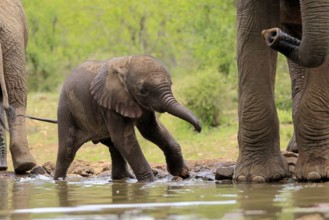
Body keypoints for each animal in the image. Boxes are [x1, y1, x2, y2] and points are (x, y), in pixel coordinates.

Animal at [53, 55, 201, 182]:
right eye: (143, 91)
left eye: (171, 84)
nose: (197, 129)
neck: (124, 66)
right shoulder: (110, 103)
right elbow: (125, 140)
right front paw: (149, 182)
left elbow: (151, 130)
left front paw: (182, 174)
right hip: (66, 110)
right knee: (67, 151)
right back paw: (59, 180)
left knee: (113, 146)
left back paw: (123, 178)